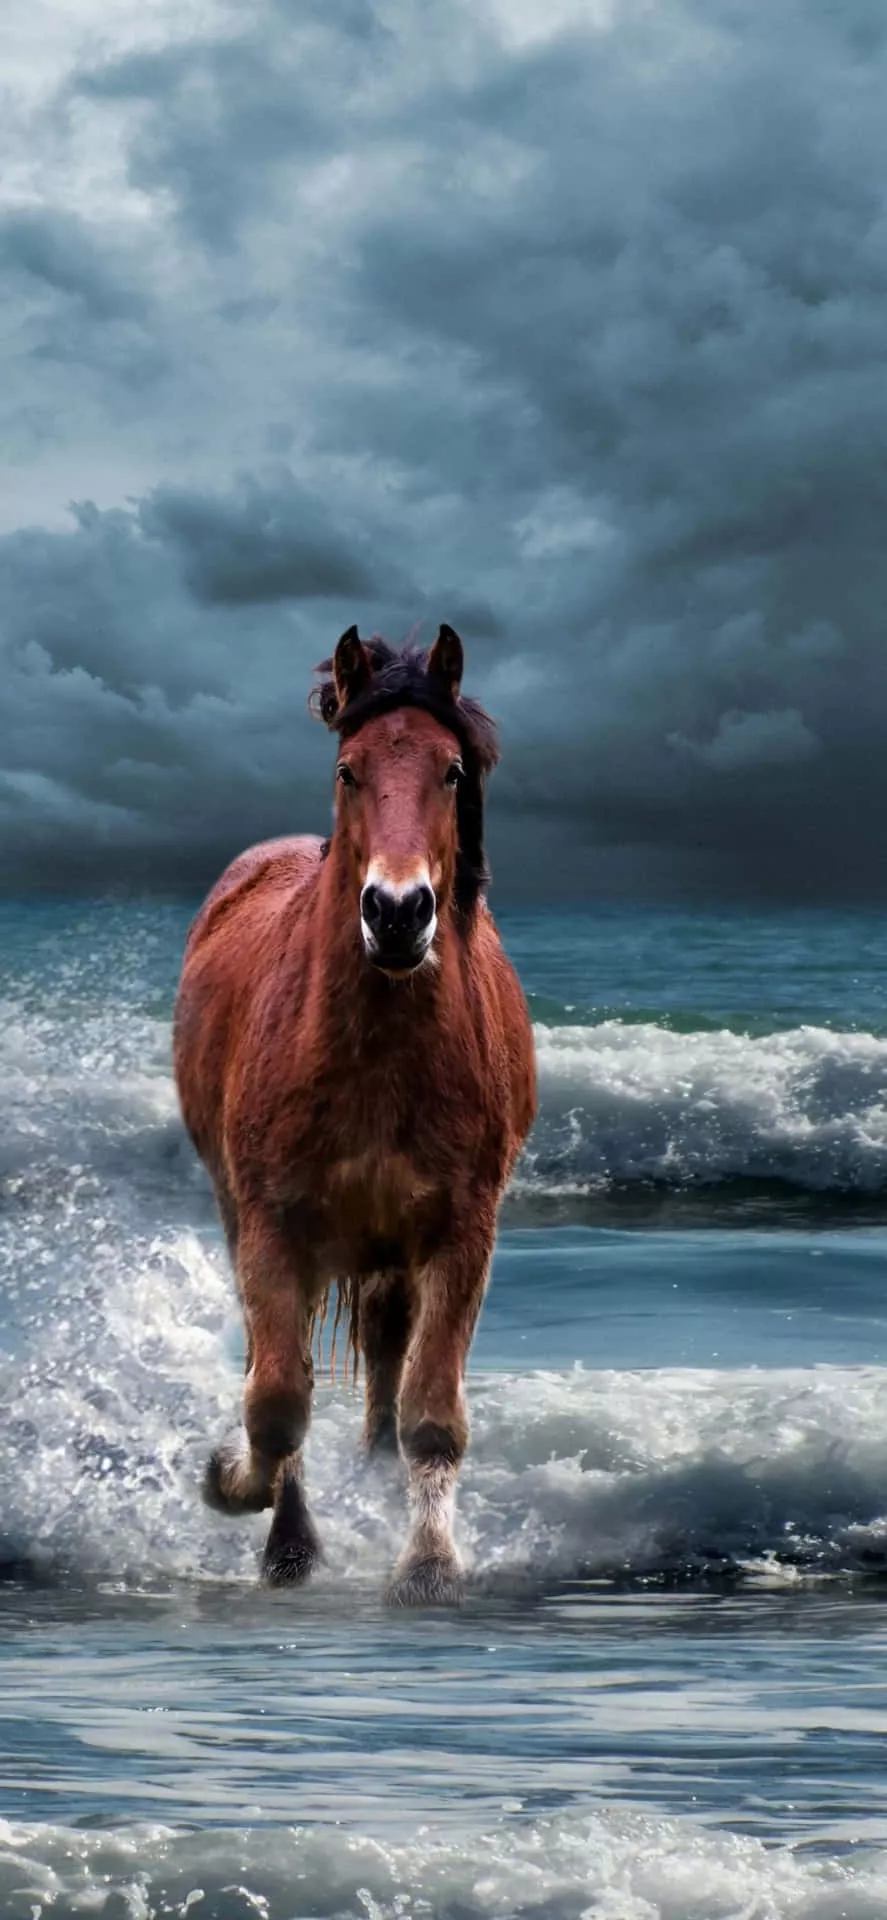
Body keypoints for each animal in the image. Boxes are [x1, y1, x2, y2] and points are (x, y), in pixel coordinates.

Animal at [173, 624, 536, 1604]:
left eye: (450, 770)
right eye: (348, 769)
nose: (398, 912)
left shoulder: (462, 1232)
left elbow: (430, 1411)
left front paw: (429, 1565)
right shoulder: (272, 1227)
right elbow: (275, 1400)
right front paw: (243, 1498)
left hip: (389, 1250)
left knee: (384, 1357)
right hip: (244, 1213)